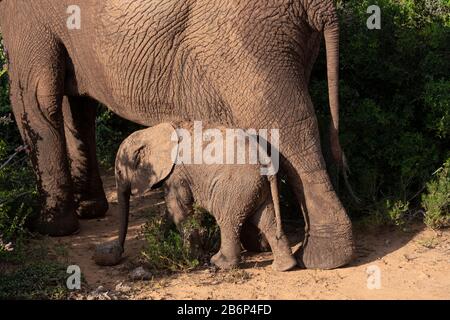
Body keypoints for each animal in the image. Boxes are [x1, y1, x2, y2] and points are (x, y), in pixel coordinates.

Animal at [93, 122, 298, 270]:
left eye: (120, 172)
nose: (113, 253)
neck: (151, 132)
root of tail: (265, 160)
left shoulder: (176, 174)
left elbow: (178, 208)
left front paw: (189, 257)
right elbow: (170, 211)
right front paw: (160, 243)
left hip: (235, 186)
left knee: (228, 220)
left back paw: (219, 263)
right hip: (256, 187)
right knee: (267, 219)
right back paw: (285, 267)